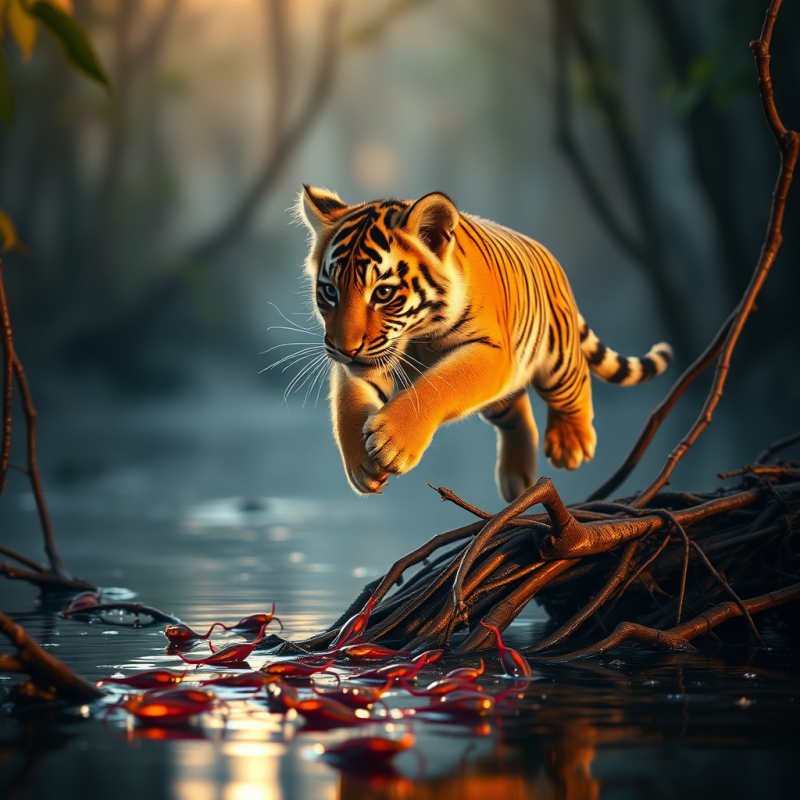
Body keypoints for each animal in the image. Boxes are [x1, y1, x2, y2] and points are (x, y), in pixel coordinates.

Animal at [297, 185, 672, 502]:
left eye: (384, 293)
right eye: (330, 291)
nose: (345, 349)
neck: (417, 336)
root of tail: (548, 257)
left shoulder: (490, 351)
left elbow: (440, 384)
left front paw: (392, 442)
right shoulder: (367, 361)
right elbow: (348, 404)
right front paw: (362, 465)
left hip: (558, 358)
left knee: (574, 383)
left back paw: (571, 444)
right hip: (499, 401)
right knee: (518, 414)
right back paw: (518, 482)